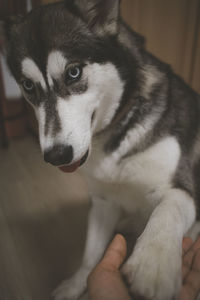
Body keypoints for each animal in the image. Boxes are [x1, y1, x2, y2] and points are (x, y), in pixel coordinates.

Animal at [0, 0, 199, 300]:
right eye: (27, 85)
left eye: (73, 72)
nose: (56, 156)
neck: (118, 136)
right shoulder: (103, 200)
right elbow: (91, 255)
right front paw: (77, 283)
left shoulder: (181, 186)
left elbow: (168, 210)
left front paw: (153, 263)